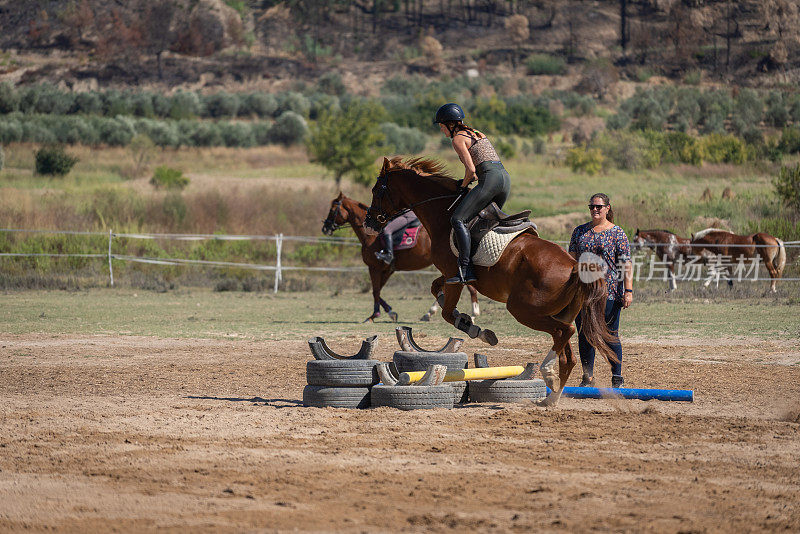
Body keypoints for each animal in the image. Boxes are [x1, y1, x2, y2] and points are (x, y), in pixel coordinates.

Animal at [322, 195, 478, 324]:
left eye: (333, 209)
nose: (325, 227)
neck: (372, 235)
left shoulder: (374, 267)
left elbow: (375, 291)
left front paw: (374, 315)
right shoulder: (387, 270)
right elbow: (378, 291)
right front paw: (390, 312)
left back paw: (472, 313)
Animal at [366, 157, 616, 408]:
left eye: (377, 190)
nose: (369, 223)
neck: (443, 215)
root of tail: (574, 266)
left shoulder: (455, 276)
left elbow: (447, 313)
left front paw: (475, 328)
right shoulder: (452, 275)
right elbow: (436, 289)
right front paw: (463, 317)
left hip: (523, 309)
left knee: (566, 331)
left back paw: (547, 373)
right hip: (554, 313)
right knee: (567, 354)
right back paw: (551, 397)